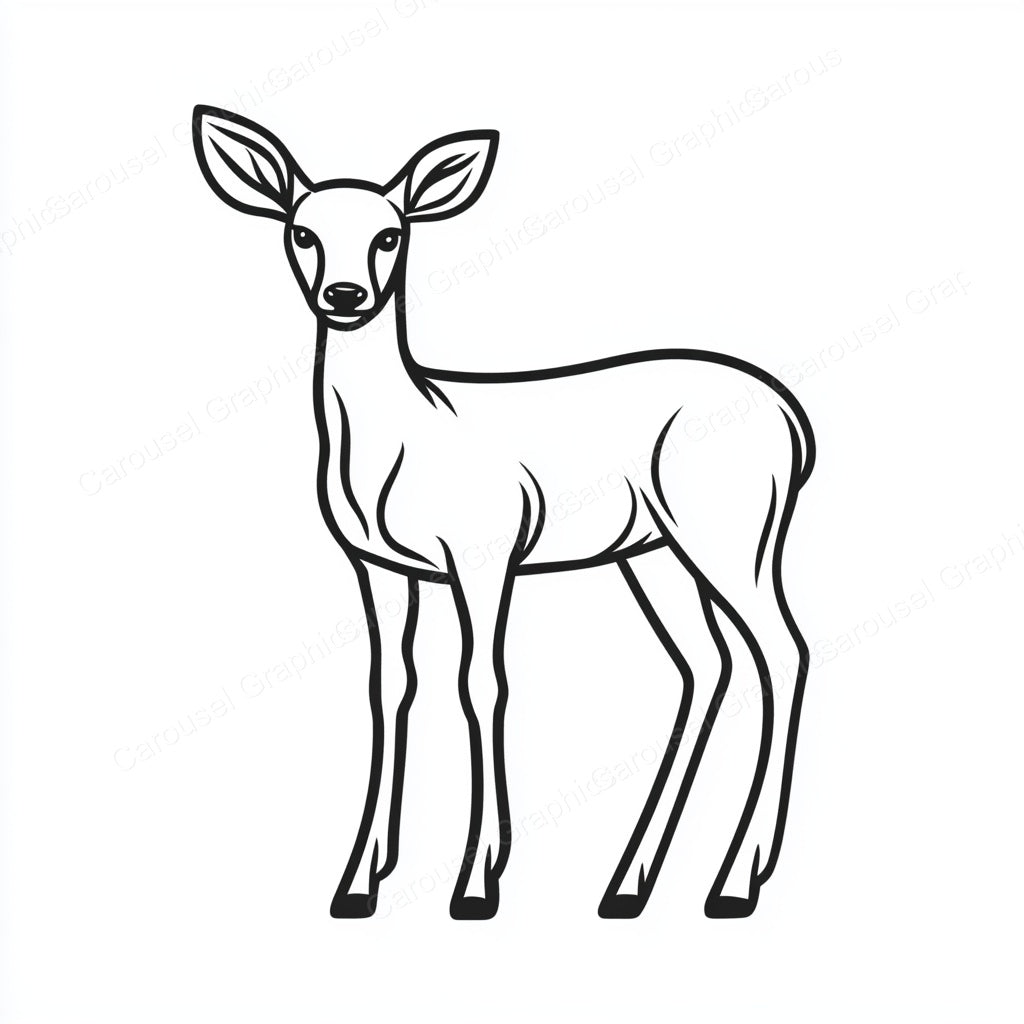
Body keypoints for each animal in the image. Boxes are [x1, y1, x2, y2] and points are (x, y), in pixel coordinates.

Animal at [192, 105, 817, 921]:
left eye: (390, 234)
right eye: (303, 231)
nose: (346, 295)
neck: (405, 430)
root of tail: (792, 418)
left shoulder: (484, 551)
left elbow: (482, 684)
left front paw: (477, 881)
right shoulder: (377, 565)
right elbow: (389, 686)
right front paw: (360, 880)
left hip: (730, 531)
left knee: (783, 650)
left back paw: (736, 882)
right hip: (651, 550)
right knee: (707, 665)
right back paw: (628, 884)